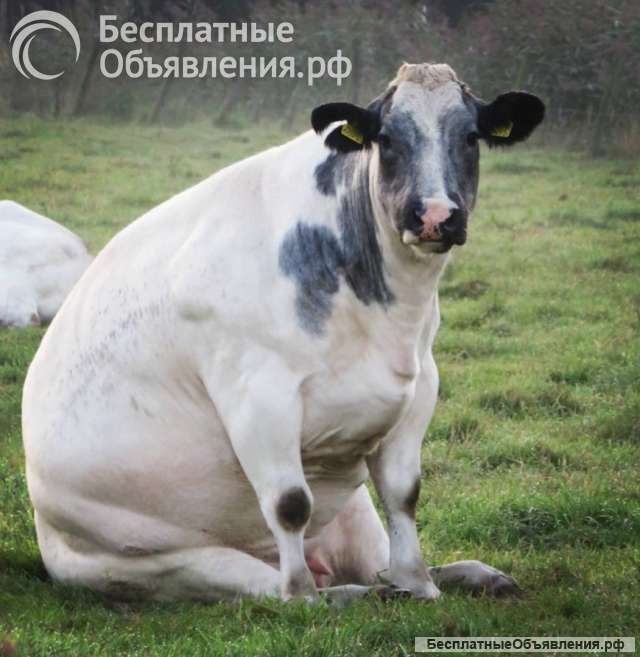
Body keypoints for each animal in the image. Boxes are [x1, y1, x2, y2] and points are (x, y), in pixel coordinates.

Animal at [22, 63, 544, 603]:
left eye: (470, 137)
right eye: (387, 139)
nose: (435, 216)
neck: (386, 314)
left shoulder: (419, 389)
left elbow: (404, 495)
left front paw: (421, 585)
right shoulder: (258, 396)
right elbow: (289, 503)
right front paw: (304, 600)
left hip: (352, 513)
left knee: (374, 565)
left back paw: (456, 576)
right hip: (168, 564)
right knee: (274, 583)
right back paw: (335, 594)